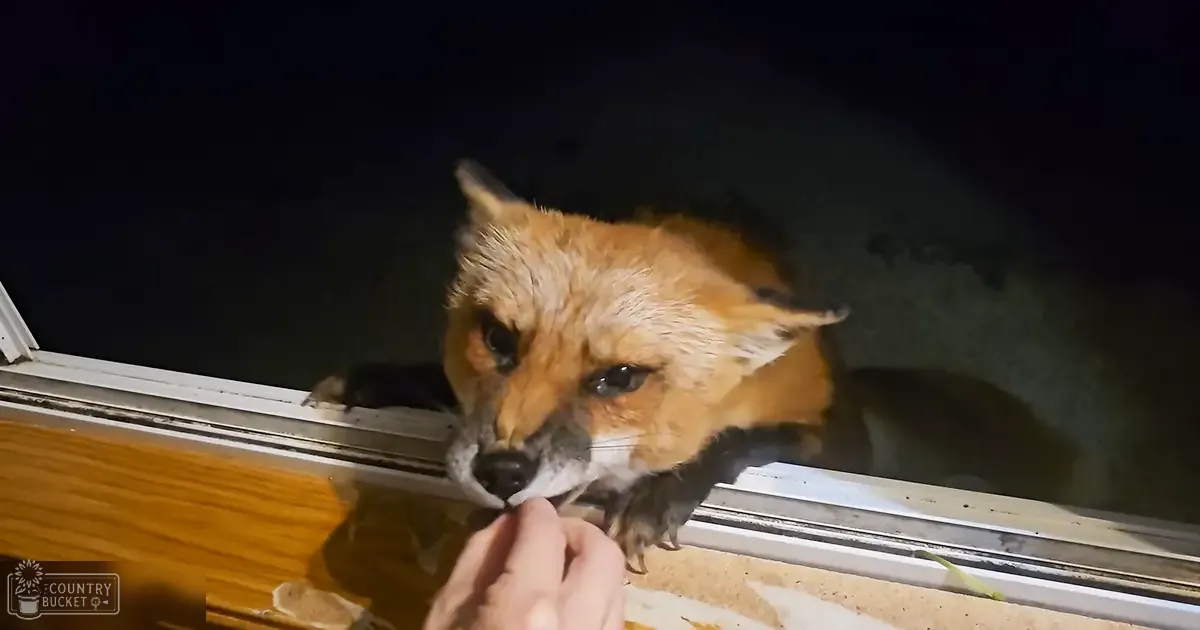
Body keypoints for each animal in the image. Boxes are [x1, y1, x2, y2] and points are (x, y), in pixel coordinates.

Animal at [305, 159, 1082, 572]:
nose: (502, 472)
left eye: (619, 379)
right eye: (498, 339)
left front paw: (660, 492)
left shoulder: (818, 437)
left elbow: (736, 442)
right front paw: (379, 379)